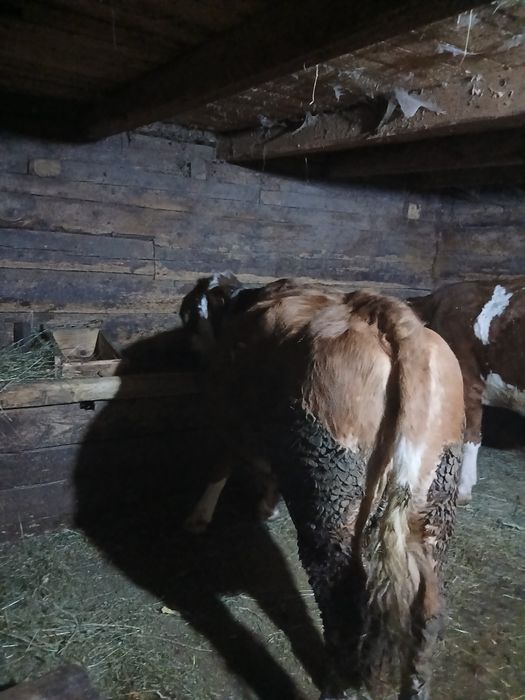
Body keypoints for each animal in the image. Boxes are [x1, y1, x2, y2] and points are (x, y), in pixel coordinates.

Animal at [180, 274, 464, 700]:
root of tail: (391, 320)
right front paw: (266, 506)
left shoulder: (229, 412)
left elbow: (221, 464)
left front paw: (199, 518)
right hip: (435, 500)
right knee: (427, 609)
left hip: (330, 486)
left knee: (342, 602)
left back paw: (336, 685)